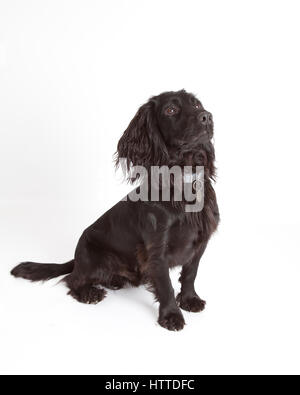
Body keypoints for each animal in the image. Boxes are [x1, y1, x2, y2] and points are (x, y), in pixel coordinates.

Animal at [11, 89, 219, 332]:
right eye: (171, 109)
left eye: (196, 105)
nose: (206, 116)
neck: (182, 184)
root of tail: (76, 258)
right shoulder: (156, 248)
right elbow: (165, 284)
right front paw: (171, 315)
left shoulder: (200, 242)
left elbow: (190, 274)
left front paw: (189, 300)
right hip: (98, 258)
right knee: (73, 279)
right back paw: (89, 292)